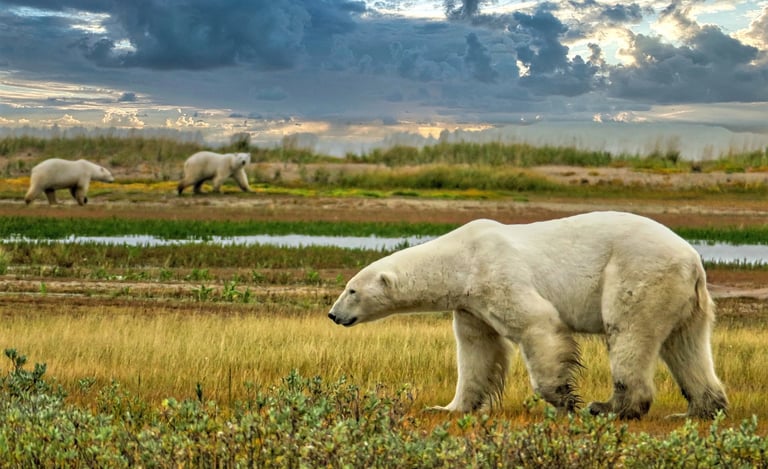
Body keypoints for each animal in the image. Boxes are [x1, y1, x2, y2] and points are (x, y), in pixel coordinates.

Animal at [328, 211, 728, 420]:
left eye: (351, 290)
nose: (333, 314)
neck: (461, 260)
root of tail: (692, 259)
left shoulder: (497, 272)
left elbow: (537, 324)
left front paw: (565, 399)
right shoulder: (471, 303)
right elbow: (476, 352)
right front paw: (448, 407)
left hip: (638, 275)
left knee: (629, 333)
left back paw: (610, 407)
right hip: (685, 299)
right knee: (686, 346)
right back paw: (700, 409)